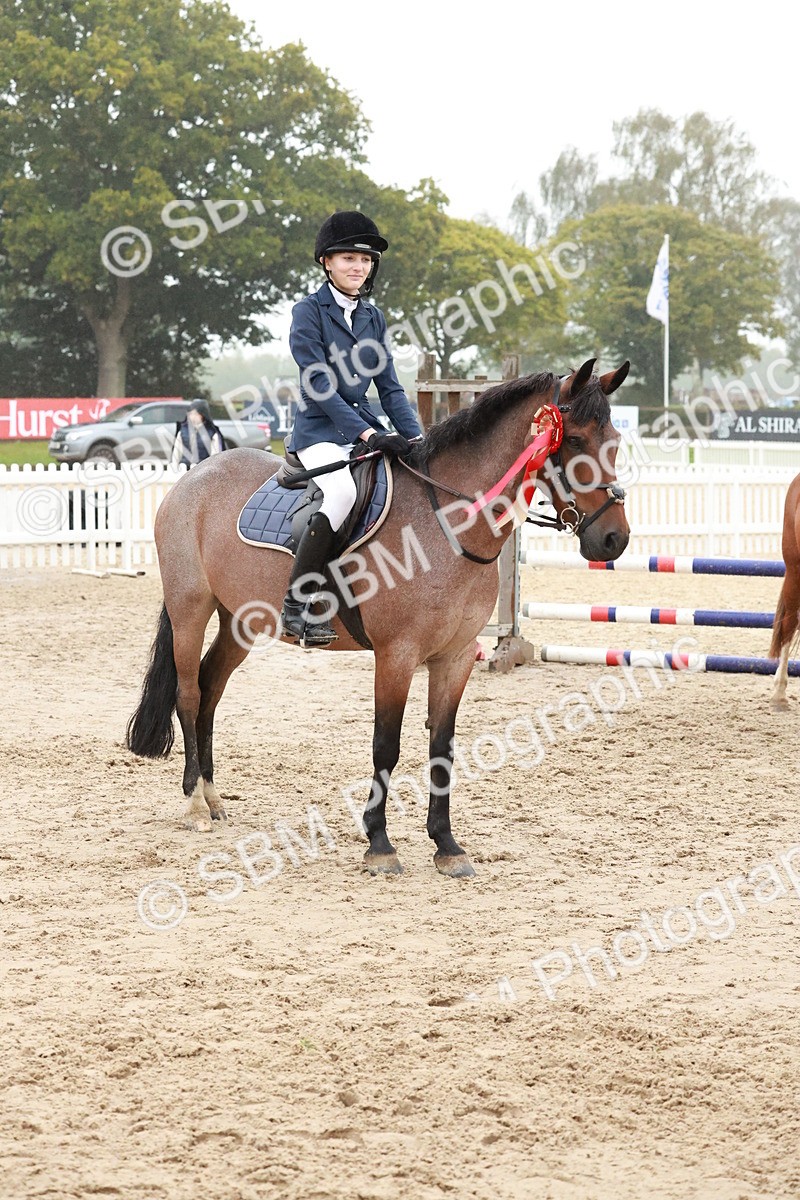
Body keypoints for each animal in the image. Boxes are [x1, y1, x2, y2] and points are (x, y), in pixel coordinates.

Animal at [126, 358, 631, 878]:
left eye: (613, 439)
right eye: (574, 440)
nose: (614, 540)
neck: (447, 524)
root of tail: (193, 476)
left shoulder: (455, 658)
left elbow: (442, 746)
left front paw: (446, 846)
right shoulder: (396, 656)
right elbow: (386, 744)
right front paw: (380, 844)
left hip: (240, 622)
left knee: (210, 690)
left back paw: (212, 796)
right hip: (190, 608)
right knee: (189, 694)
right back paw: (194, 805)